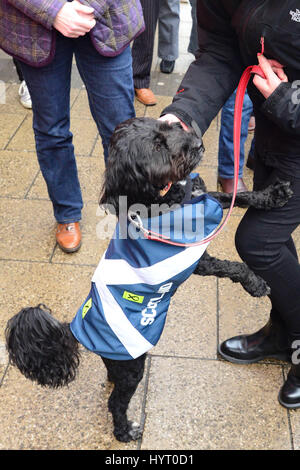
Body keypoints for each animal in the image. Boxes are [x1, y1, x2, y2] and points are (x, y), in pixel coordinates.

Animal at [5, 115, 292, 442]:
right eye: (157, 147)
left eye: (167, 126)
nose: (197, 143)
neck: (161, 197)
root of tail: (75, 329)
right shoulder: (196, 258)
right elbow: (233, 267)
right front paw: (256, 283)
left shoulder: (203, 198)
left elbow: (239, 197)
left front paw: (272, 195)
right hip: (132, 366)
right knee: (116, 402)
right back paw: (125, 431)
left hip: (121, 363)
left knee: (112, 378)